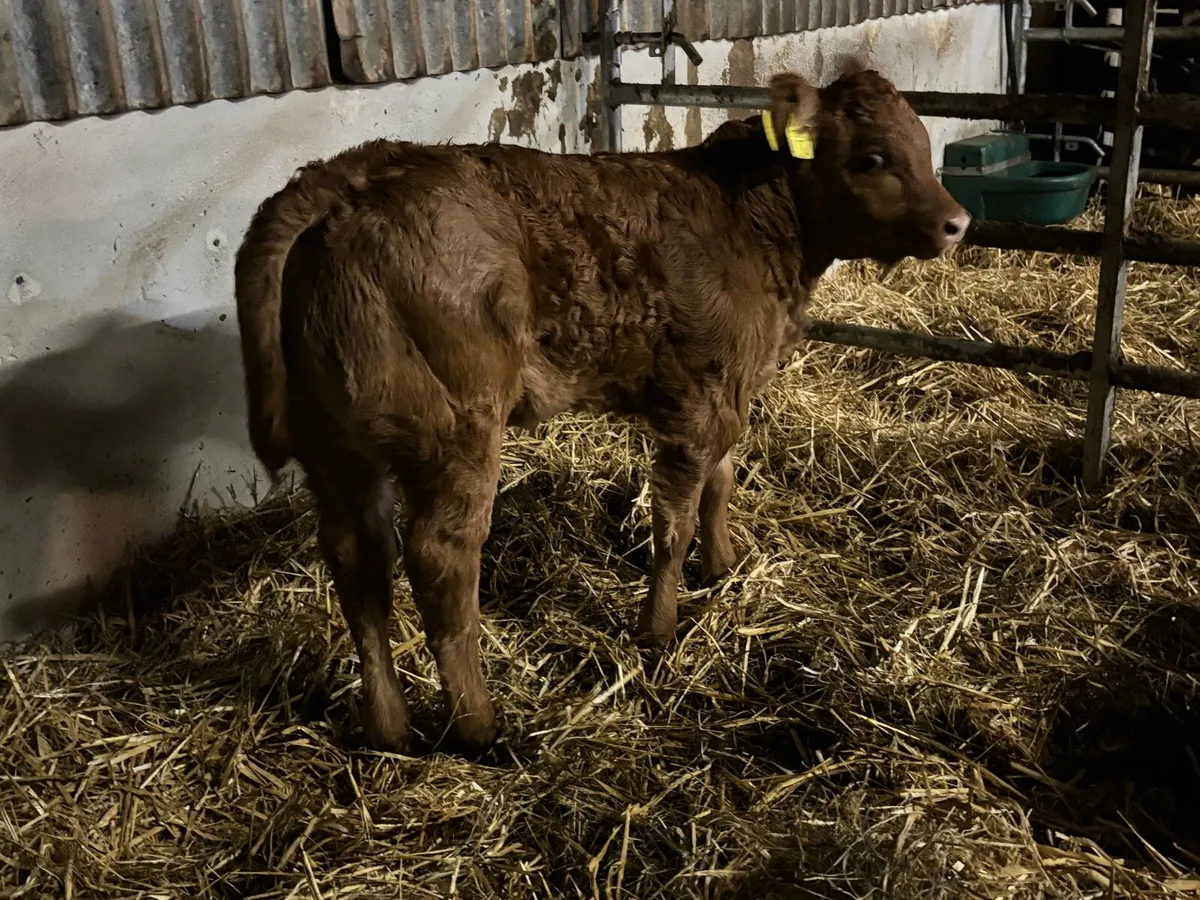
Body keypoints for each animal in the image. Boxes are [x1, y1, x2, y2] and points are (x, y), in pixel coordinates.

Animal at [234, 69, 970, 755]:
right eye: (872, 157)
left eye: (923, 143)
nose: (957, 222)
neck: (751, 221)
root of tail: (349, 175)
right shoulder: (697, 399)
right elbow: (674, 519)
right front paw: (659, 628)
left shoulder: (730, 388)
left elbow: (721, 484)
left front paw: (724, 566)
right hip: (457, 430)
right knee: (440, 558)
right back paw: (478, 725)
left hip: (337, 449)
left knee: (357, 561)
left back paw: (388, 728)